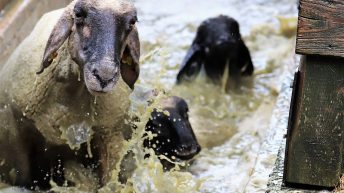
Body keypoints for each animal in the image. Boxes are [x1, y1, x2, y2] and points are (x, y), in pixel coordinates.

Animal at [0, 0, 140, 190]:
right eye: (78, 14)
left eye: (132, 22)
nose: (104, 76)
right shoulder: (18, 131)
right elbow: (24, 177)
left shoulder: (111, 134)